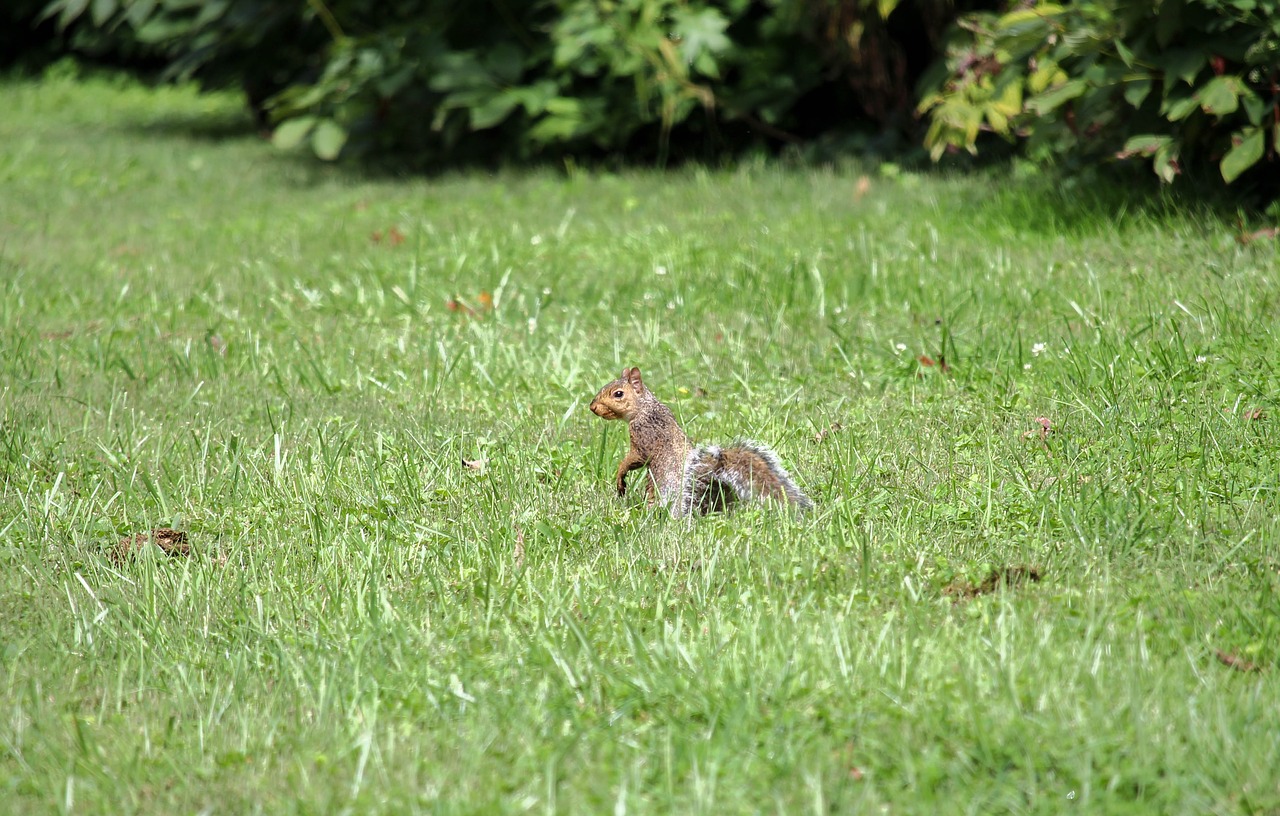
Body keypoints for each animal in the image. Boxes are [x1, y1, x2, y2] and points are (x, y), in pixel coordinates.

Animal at [586, 368, 808, 516]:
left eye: (618, 394)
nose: (592, 407)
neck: (645, 408)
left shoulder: (645, 436)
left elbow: (636, 458)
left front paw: (620, 475)